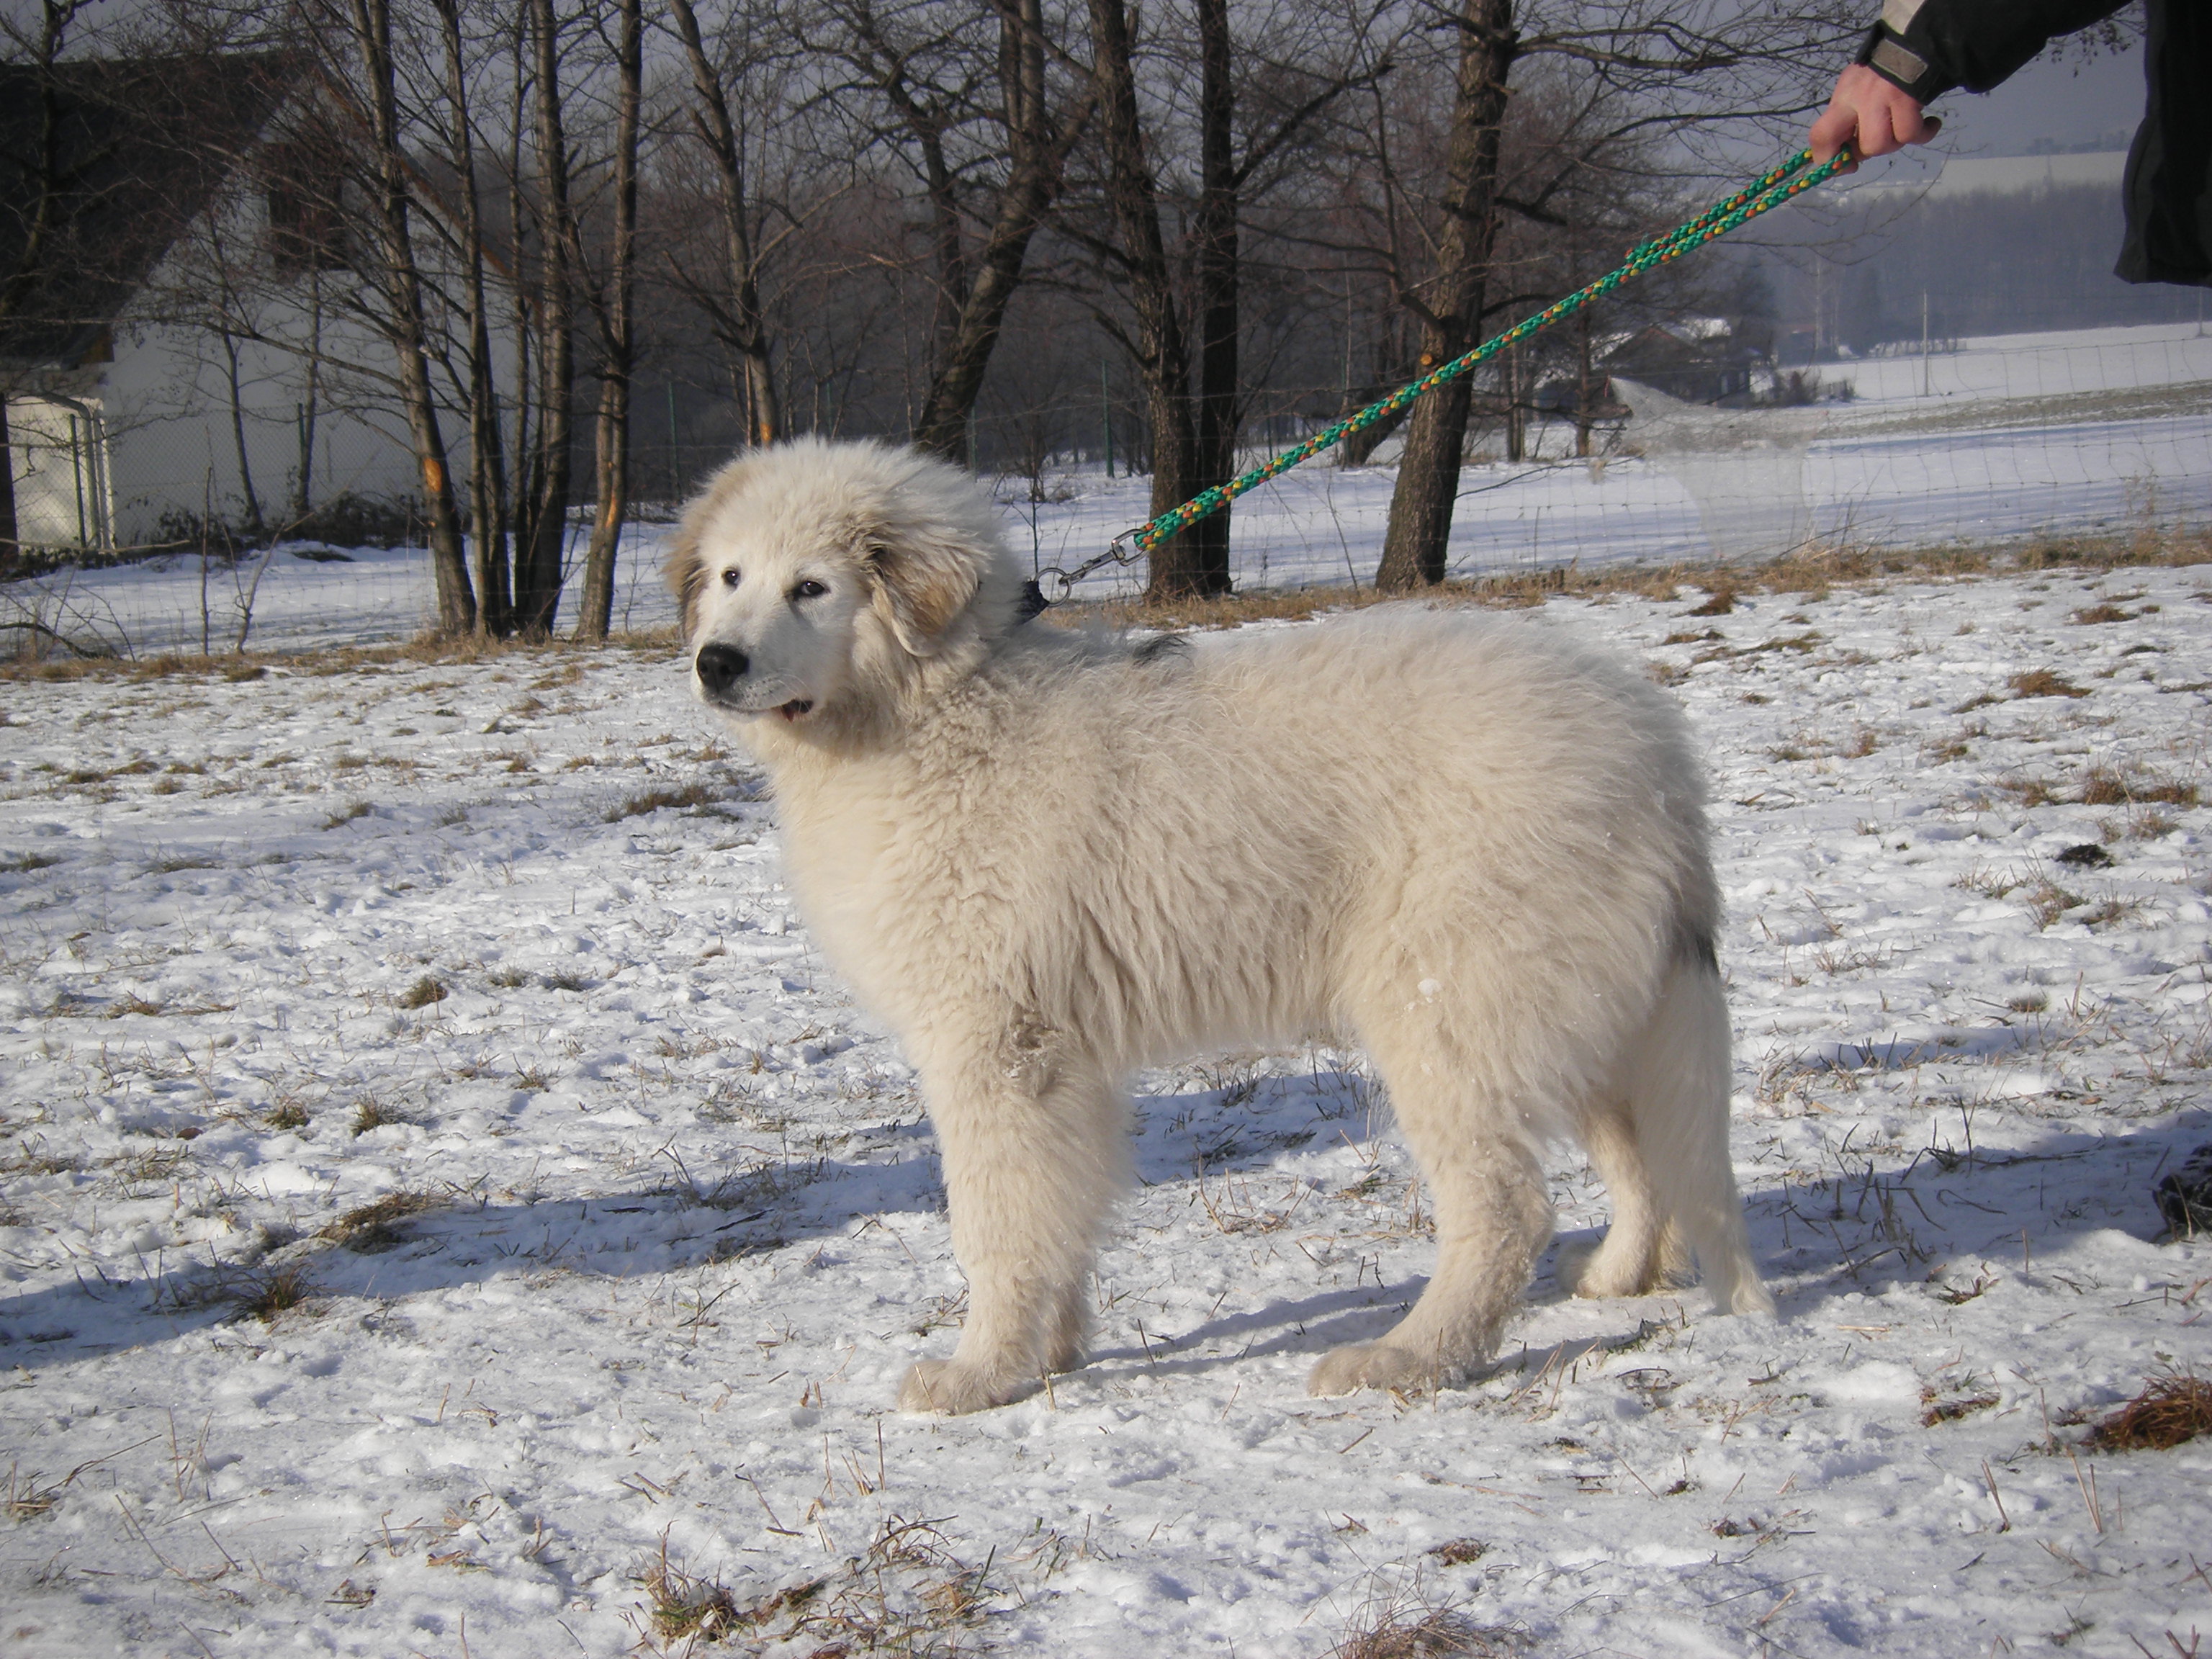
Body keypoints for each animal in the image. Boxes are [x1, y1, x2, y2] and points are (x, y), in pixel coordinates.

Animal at [663, 438, 1769, 1416]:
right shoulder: (1062, 1062)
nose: (715, 662)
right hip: (1582, 1007)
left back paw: (1408, 1359)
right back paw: (1619, 1276)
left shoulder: (994, 1045)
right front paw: (1050, 1355)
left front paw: (982, 1375)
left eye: (812, 588)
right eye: (731, 576)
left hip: (1450, 1012)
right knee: (1641, 1160)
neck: (935, 714)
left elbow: (997, 1224)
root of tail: (1655, 755)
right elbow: (1059, 1218)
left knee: (1507, 1210)